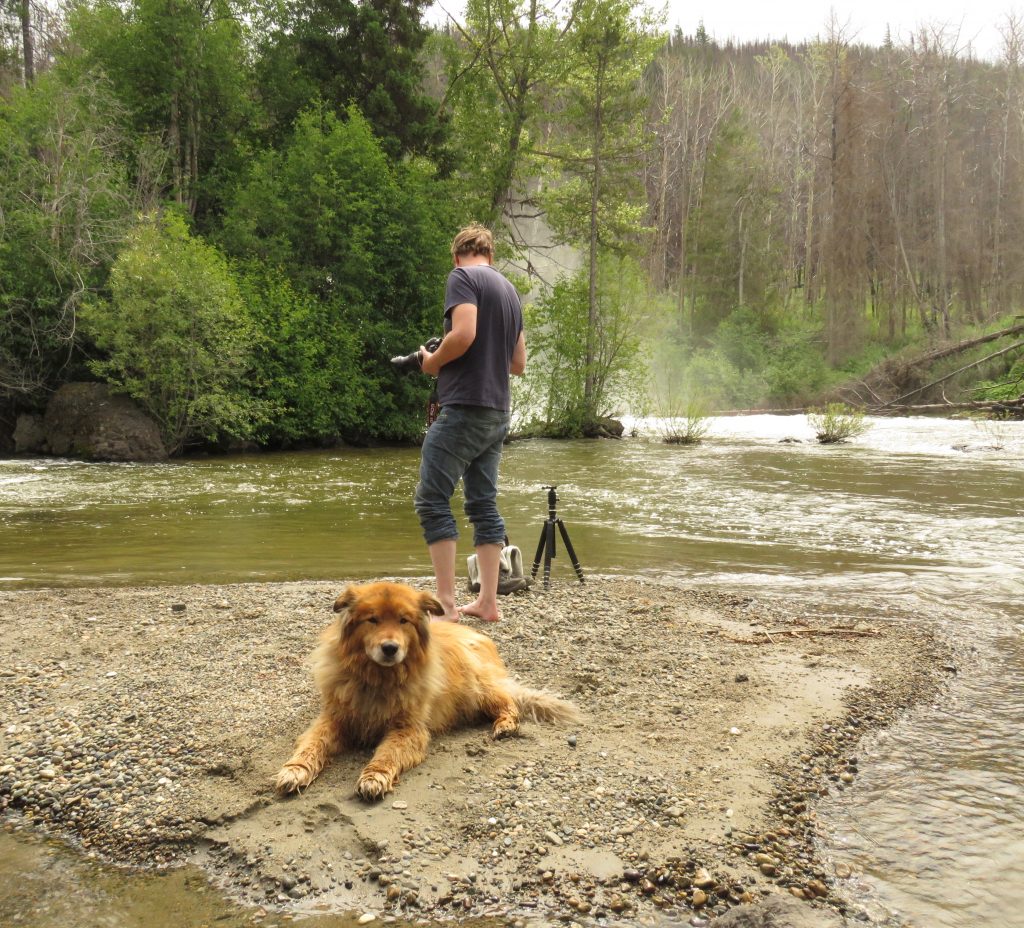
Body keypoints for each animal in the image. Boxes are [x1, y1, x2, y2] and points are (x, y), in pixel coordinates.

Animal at [274, 577, 577, 794]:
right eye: (372, 619)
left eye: (403, 620)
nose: (390, 648)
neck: (378, 679)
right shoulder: (334, 717)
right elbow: (314, 742)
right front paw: (295, 770)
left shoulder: (408, 729)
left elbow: (387, 753)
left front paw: (374, 777)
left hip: (477, 689)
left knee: (508, 702)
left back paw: (505, 725)